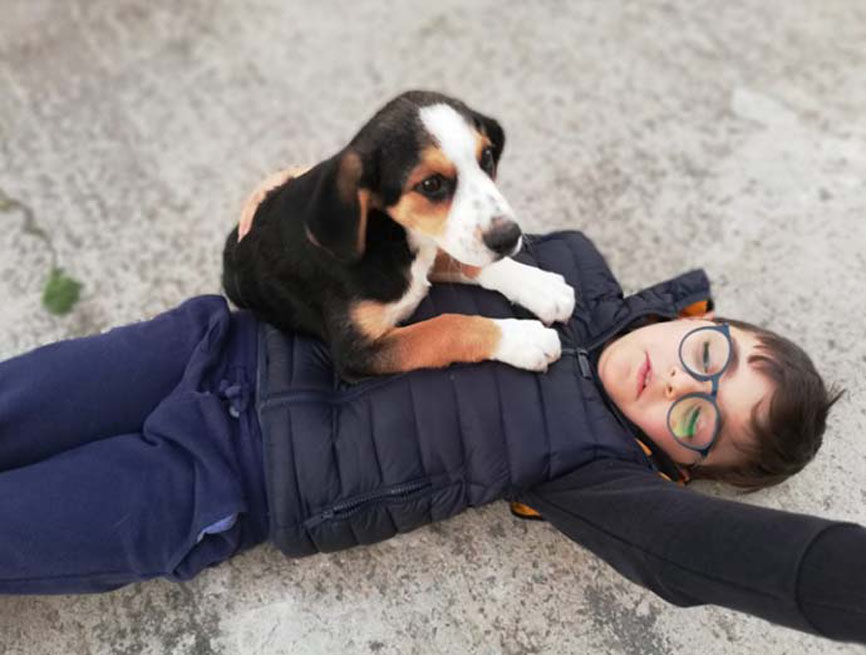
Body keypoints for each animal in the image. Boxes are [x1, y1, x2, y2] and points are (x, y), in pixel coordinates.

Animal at [223, 90, 572, 382]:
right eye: (430, 184)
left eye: (486, 157)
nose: (509, 237)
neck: (391, 235)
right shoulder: (356, 352)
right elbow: (445, 326)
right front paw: (524, 339)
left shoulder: (429, 247)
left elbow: (468, 262)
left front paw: (542, 287)